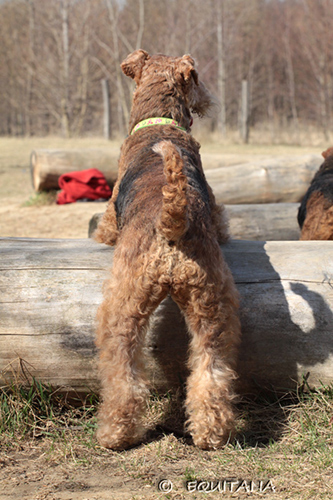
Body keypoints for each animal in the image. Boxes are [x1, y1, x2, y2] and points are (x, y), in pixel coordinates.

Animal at [94, 48, 240, 452]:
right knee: (211, 371)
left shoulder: (110, 216)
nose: (208, 100)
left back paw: (114, 433)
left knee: (123, 372)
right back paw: (211, 433)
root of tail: (171, 224)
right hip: (212, 304)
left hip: (123, 305)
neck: (159, 121)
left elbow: (102, 228)